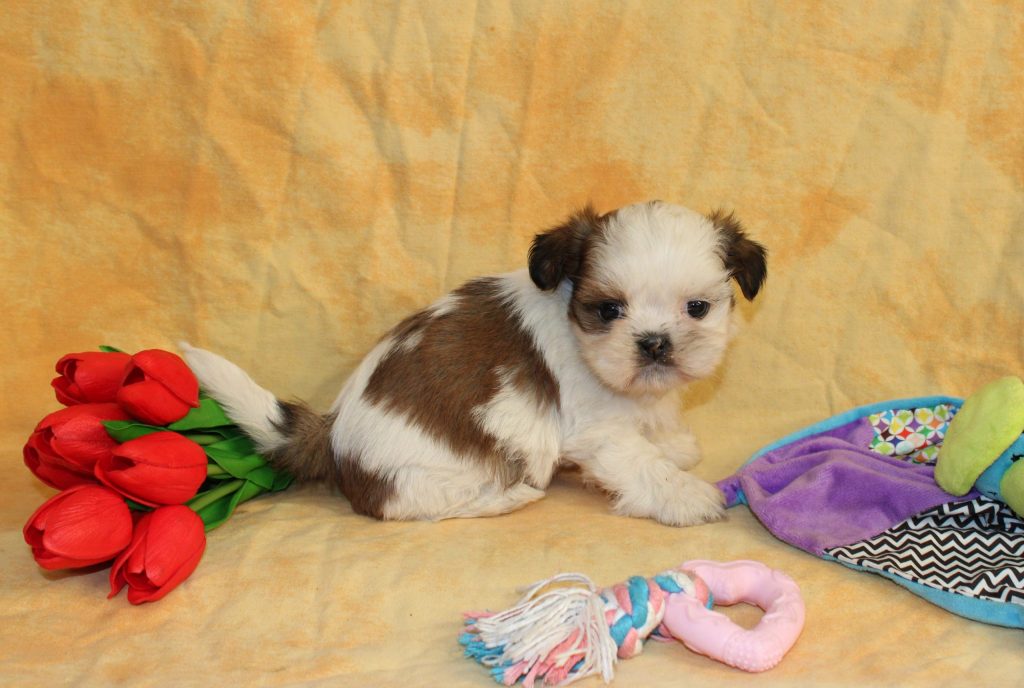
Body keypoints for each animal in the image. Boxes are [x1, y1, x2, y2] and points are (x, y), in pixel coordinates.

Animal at [182, 200, 766, 526]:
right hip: (430, 472)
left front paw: (673, 445)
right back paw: (507, 499)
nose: (654, 343)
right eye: (608, 310)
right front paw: (685, 495)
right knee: (418, 503)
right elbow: (639, 461)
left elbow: (656, 426)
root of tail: (332, 432)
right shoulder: (598, 430)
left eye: (697, 308)